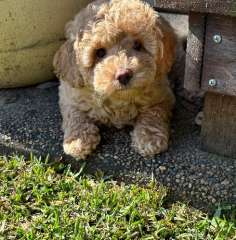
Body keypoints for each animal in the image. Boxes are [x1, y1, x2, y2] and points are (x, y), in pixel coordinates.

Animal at [54, 0, 179, 159]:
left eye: (138, 44)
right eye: (99, 52)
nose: (123, 75)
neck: (118, 99)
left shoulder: (163, 95)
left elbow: (154, 113)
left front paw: (149, 138)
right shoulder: (70, 95)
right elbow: (74, 114)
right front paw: (78, 141)